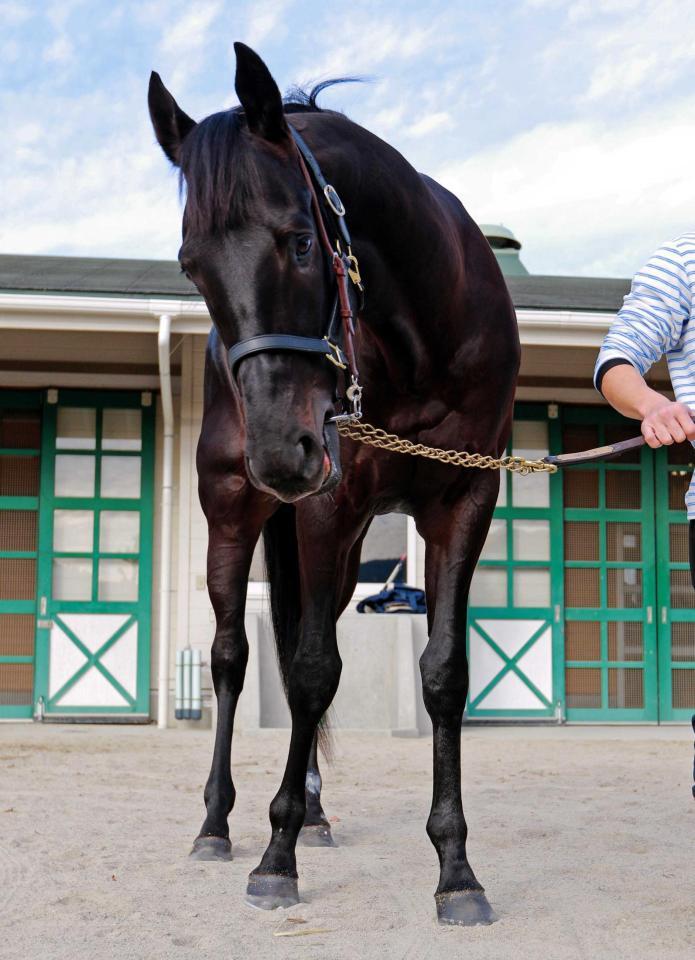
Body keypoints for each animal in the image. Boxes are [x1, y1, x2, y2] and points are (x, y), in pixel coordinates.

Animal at [151, 43, 520, 924]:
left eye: (298, 241)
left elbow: (443, 673)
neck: (427, 334)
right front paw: (273, 859)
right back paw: (220, 824)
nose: (282, 452)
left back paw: (313, 812)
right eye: (190, 266)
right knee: (234, 655)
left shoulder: (464, 501)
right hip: (234, 514)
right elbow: (314, 669)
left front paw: (456, 871)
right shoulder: (328, 504)